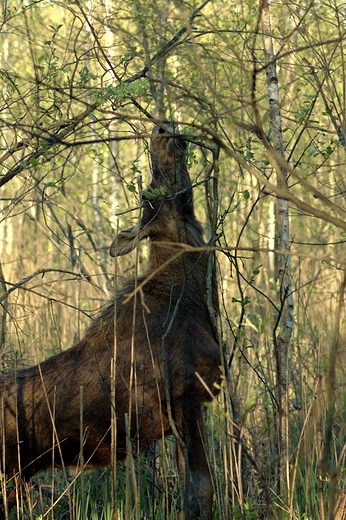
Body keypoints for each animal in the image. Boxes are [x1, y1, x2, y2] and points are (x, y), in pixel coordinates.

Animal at [0, 123, 222, 520]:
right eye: (151, 192)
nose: (161, 129)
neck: (194, 294)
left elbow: (190, 492)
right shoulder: (187, 400)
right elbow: (202, 491)